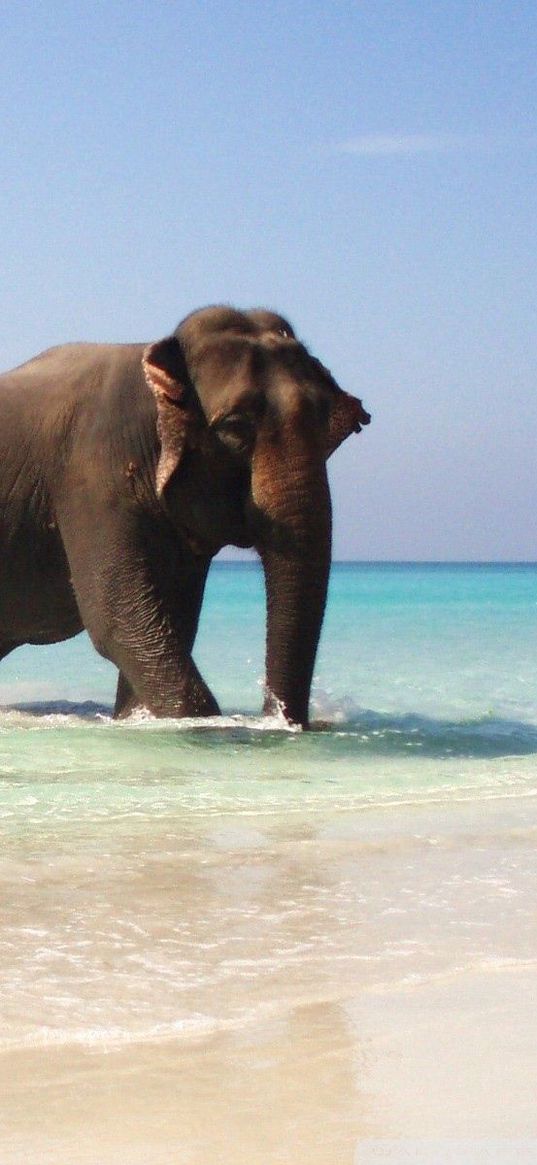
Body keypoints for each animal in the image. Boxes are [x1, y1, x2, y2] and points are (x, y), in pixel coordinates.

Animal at [0, 307, 368, 726]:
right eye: (236, 426)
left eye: (327, 427)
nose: (276, 717)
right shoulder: (91, 478)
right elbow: (119, 619)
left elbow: (172, 620)